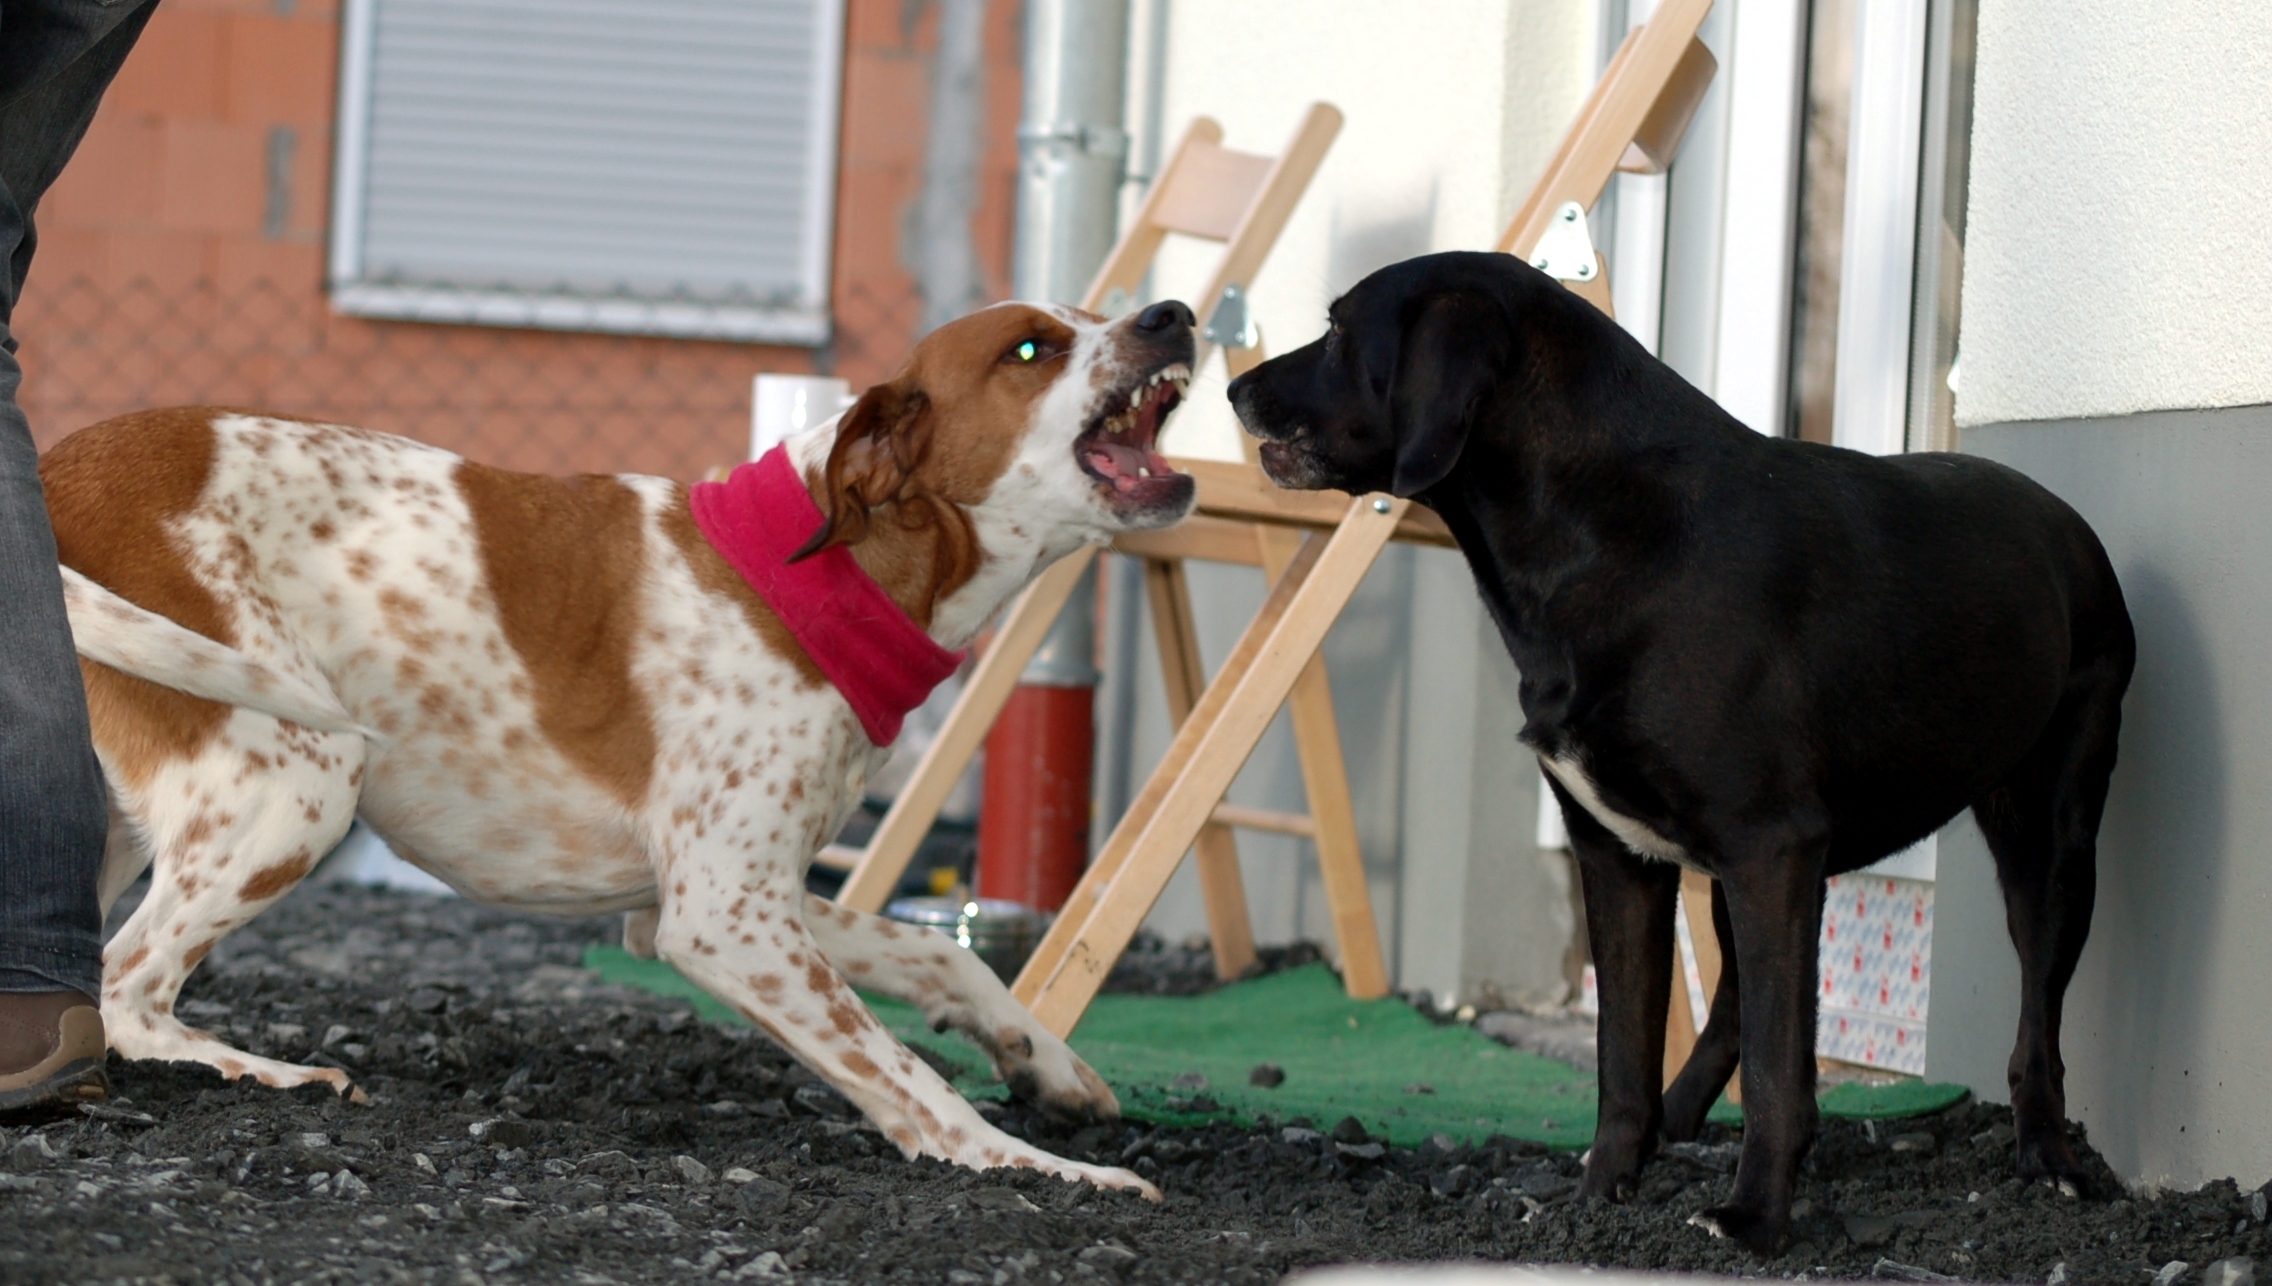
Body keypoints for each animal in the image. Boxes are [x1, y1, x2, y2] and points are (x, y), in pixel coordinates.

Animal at [44, 297, 1199, 1190]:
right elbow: (911, 1081)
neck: (829, 569)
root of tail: (59, 465)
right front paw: (1044, 1170)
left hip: (136, 821)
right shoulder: (723, 920)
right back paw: (268, 1073)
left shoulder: (711, 900)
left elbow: (941, 954)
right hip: (299, 782)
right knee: (127, 987)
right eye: (1031, 348)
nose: (1174, 313)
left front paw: (1044, 1063)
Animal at [1226, 252, 2126, 1263]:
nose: (1232, 388)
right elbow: (1623, 1055)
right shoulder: (1627, 860)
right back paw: (1685, 1115)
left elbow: (1776, 1064)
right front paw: (1601, 1191)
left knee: (2036, 1022)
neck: (1601, 528)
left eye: (1340, 331)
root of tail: (2069, 523)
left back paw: (2050, 1159)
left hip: (2050, 844)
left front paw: (1756, 1217)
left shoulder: (1770, 847)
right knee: (1736, 998)